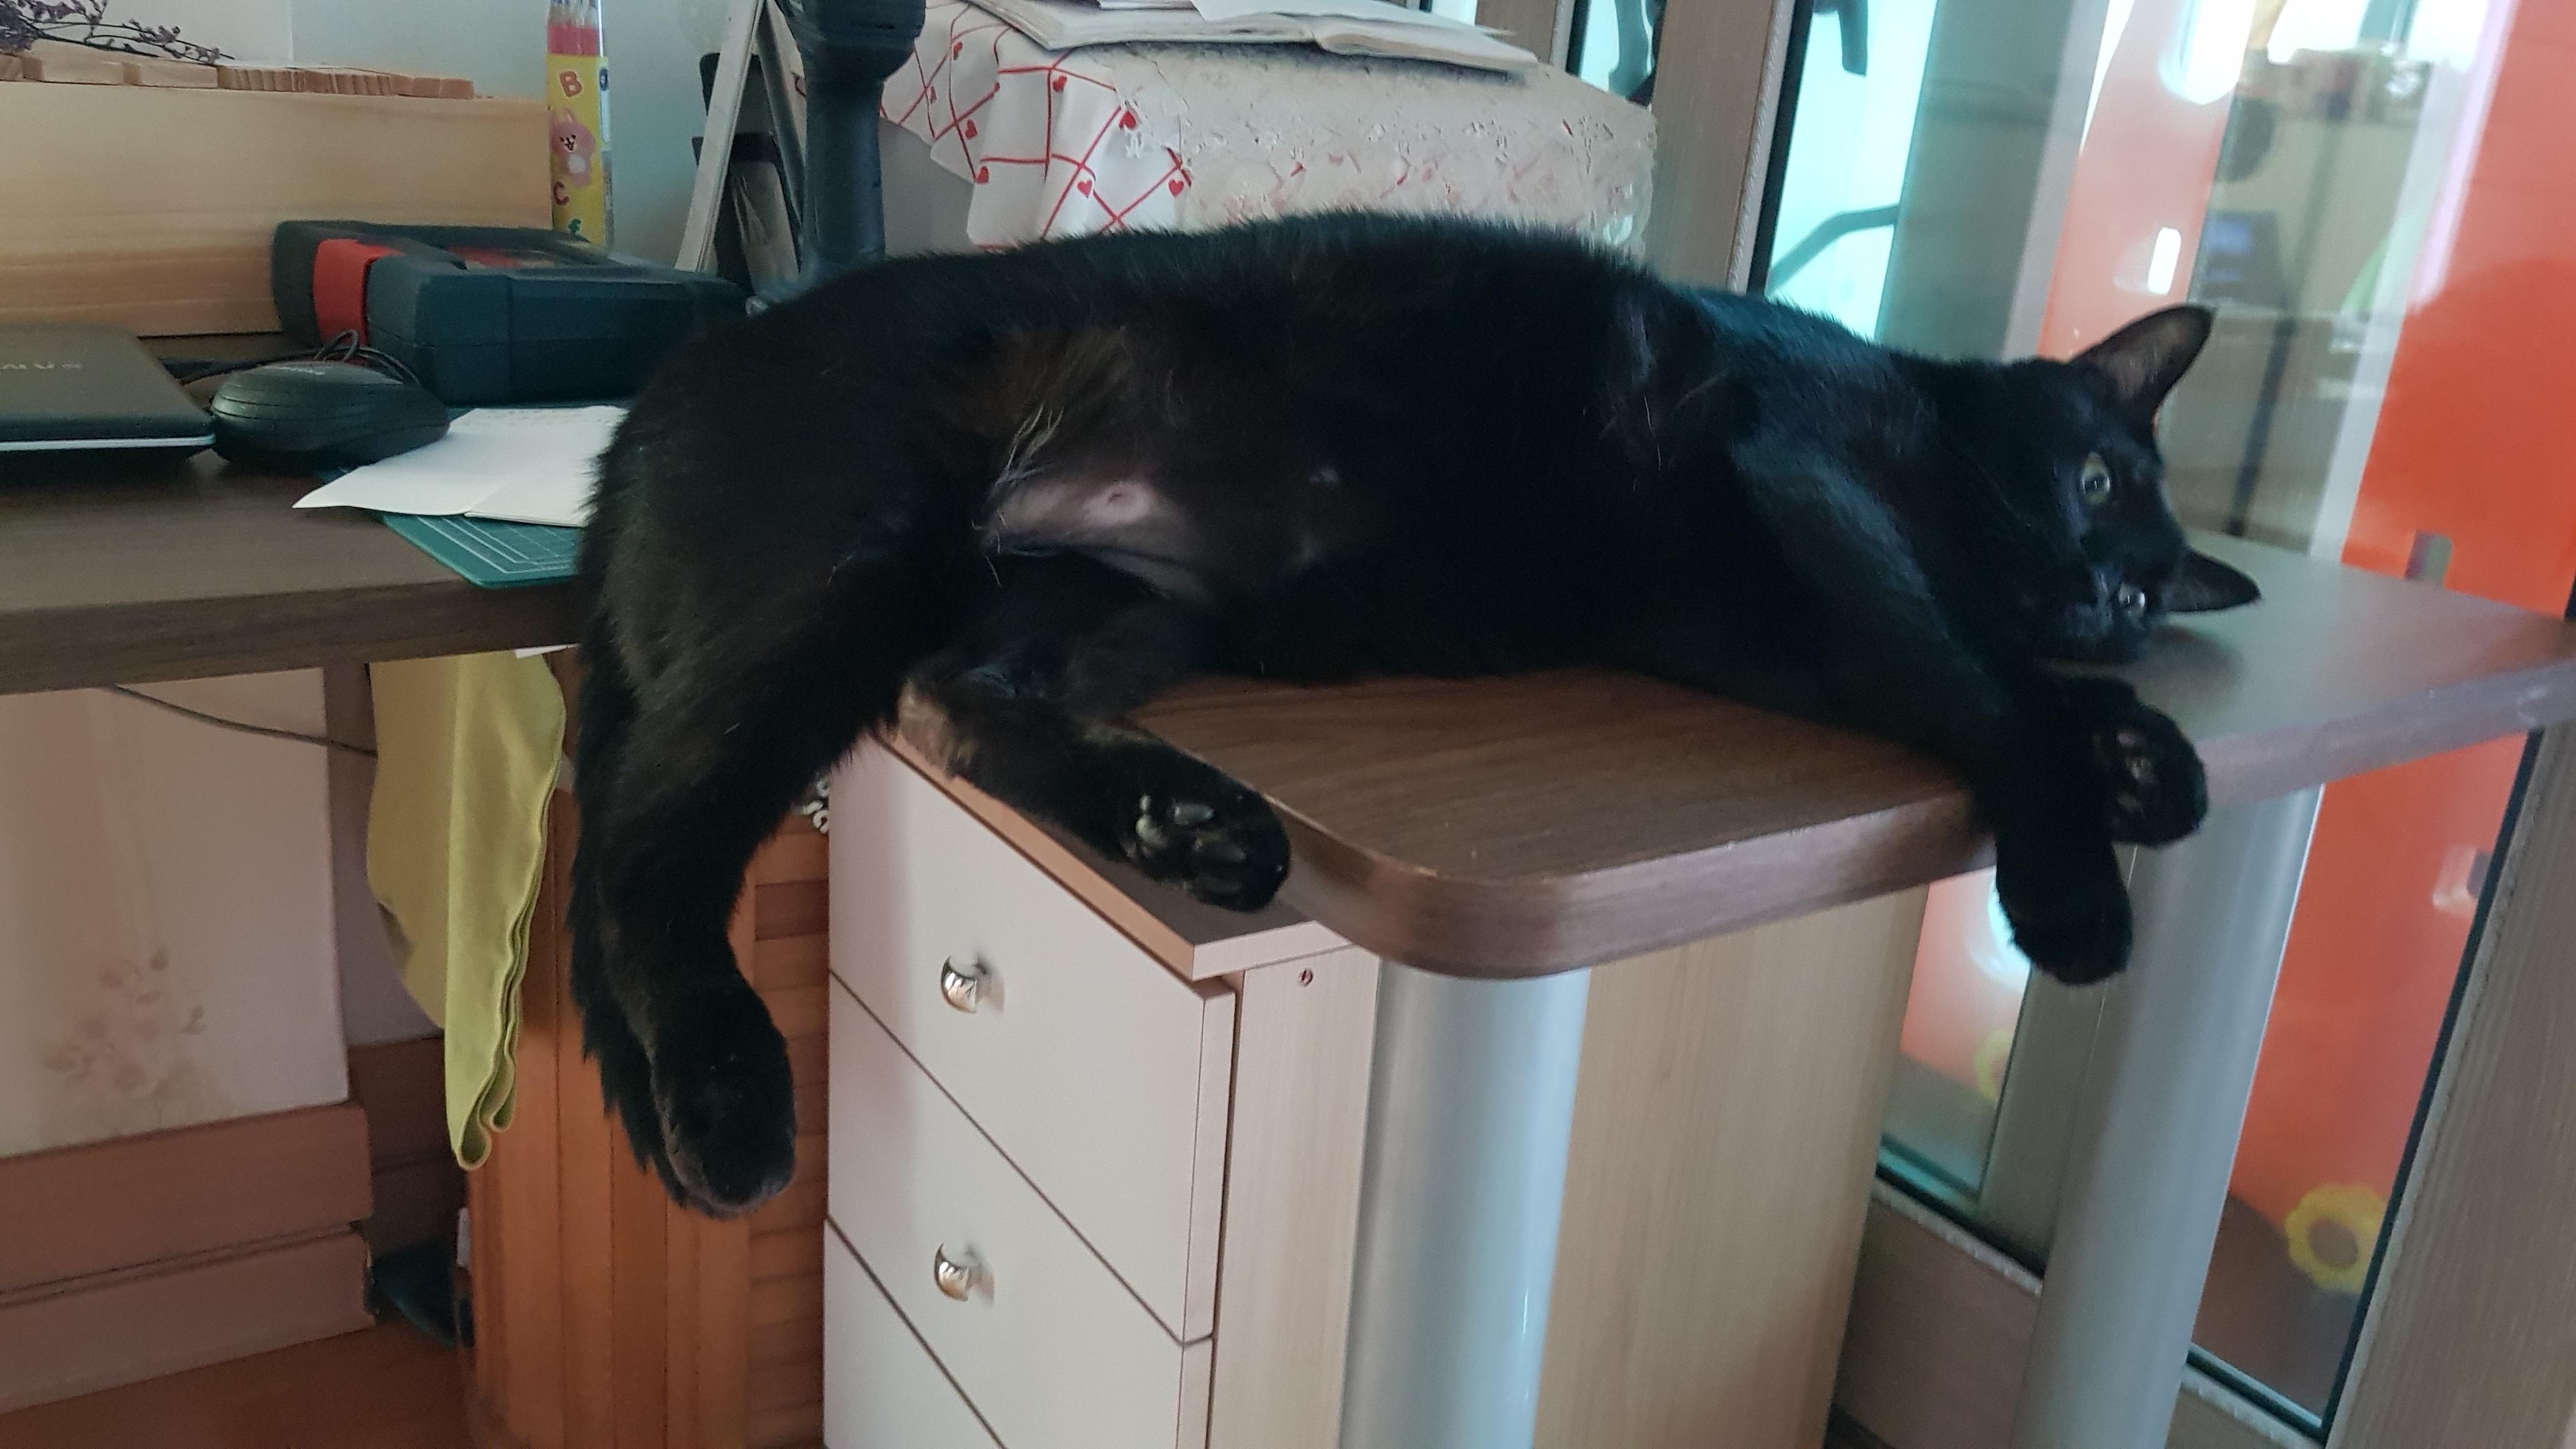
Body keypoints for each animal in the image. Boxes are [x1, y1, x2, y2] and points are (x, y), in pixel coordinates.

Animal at [569, 211, 2258, 1215]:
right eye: (2093, 475)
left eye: (2153, 589)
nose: (2102, 592)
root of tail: (652, 396)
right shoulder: (1812, 478)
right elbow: (1966, 670)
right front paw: (2076, 879)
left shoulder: (1774, 626)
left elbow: (1950, 669)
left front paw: (2138, 753)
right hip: (842, 579)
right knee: (646, 854)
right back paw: (732, 1102)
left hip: (1118, 603)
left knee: (955, 700)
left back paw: (1190, 822)